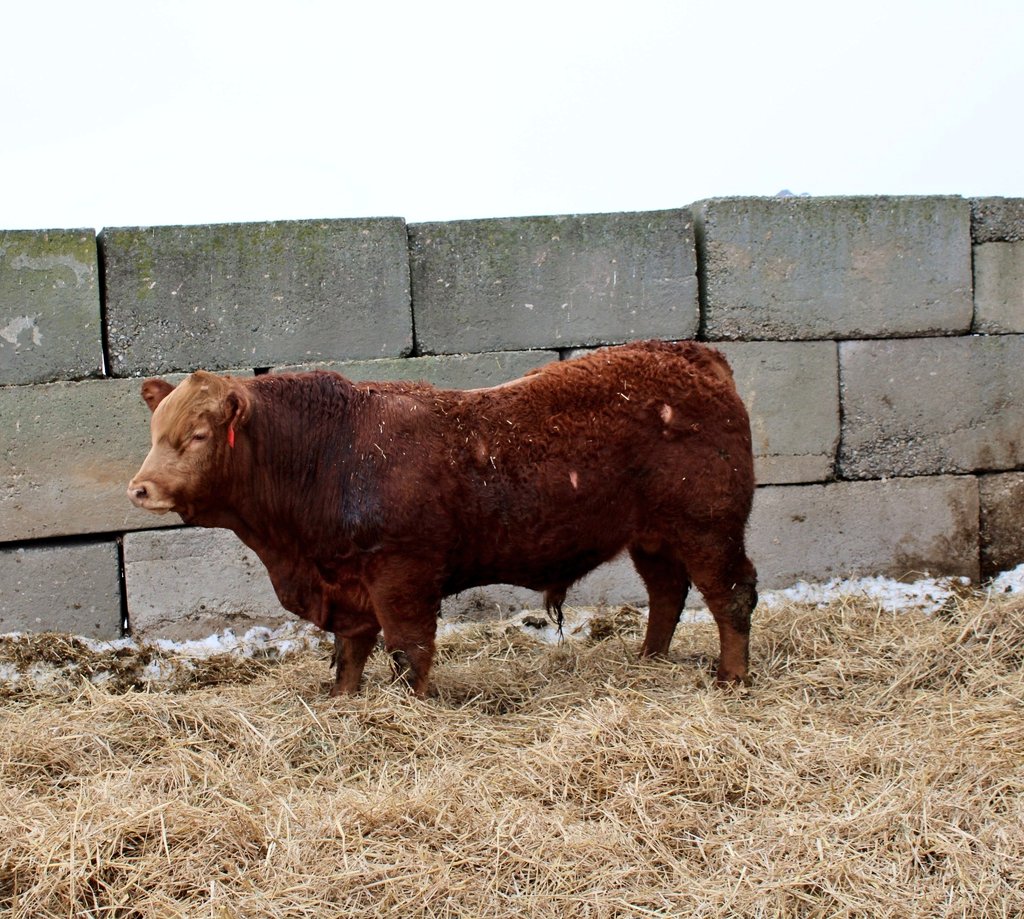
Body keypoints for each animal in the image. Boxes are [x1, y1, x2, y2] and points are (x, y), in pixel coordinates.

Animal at [127, 340, 758, 697]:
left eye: (199, 434)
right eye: (155, 431)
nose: (140, 489)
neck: (330, 453)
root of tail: (690, 352)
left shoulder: (402, 573)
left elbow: (409, 651)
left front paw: (412, 709)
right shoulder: (349, 584)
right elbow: (350, 653)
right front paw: (343, 703)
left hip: (709, 526)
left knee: (730, 596)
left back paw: (731, 678)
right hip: (653, 537)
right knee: (667, 593)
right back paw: (650, 659)